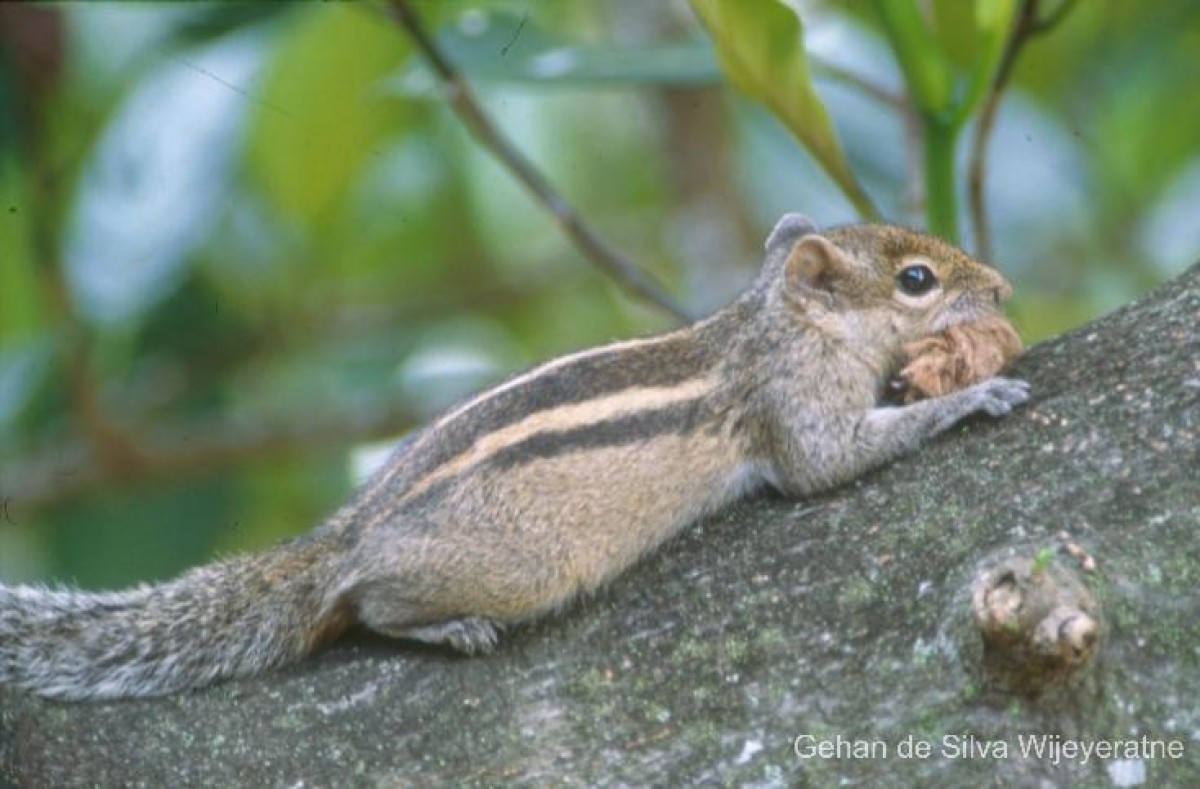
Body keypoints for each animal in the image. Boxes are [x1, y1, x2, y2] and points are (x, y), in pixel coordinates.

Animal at [0, 213, 1032, 695]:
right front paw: (972, 394)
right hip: (510, 569)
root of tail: (344, 536)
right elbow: (828, 467)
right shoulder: (796, 410)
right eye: (916, 279)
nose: (1002, 285)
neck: (775, 323)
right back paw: (444, 625)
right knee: (366, 605)